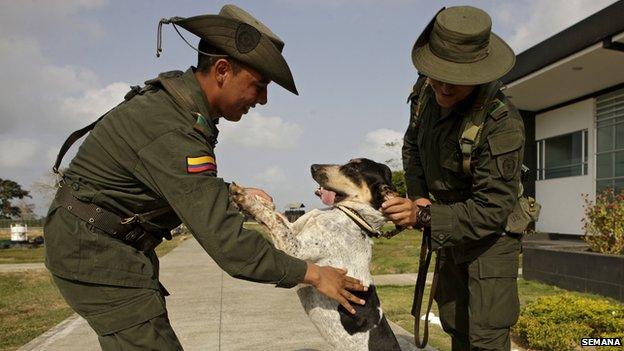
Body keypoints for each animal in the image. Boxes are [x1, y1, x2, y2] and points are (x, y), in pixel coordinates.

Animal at [229, 160, 400, 351]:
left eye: (354, 168)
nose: (313, 166)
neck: (352, 217)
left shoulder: (296, 248)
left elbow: (272, 218)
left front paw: (245, 197)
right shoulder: (293, 229)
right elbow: (275, 215)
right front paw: (258, 197)